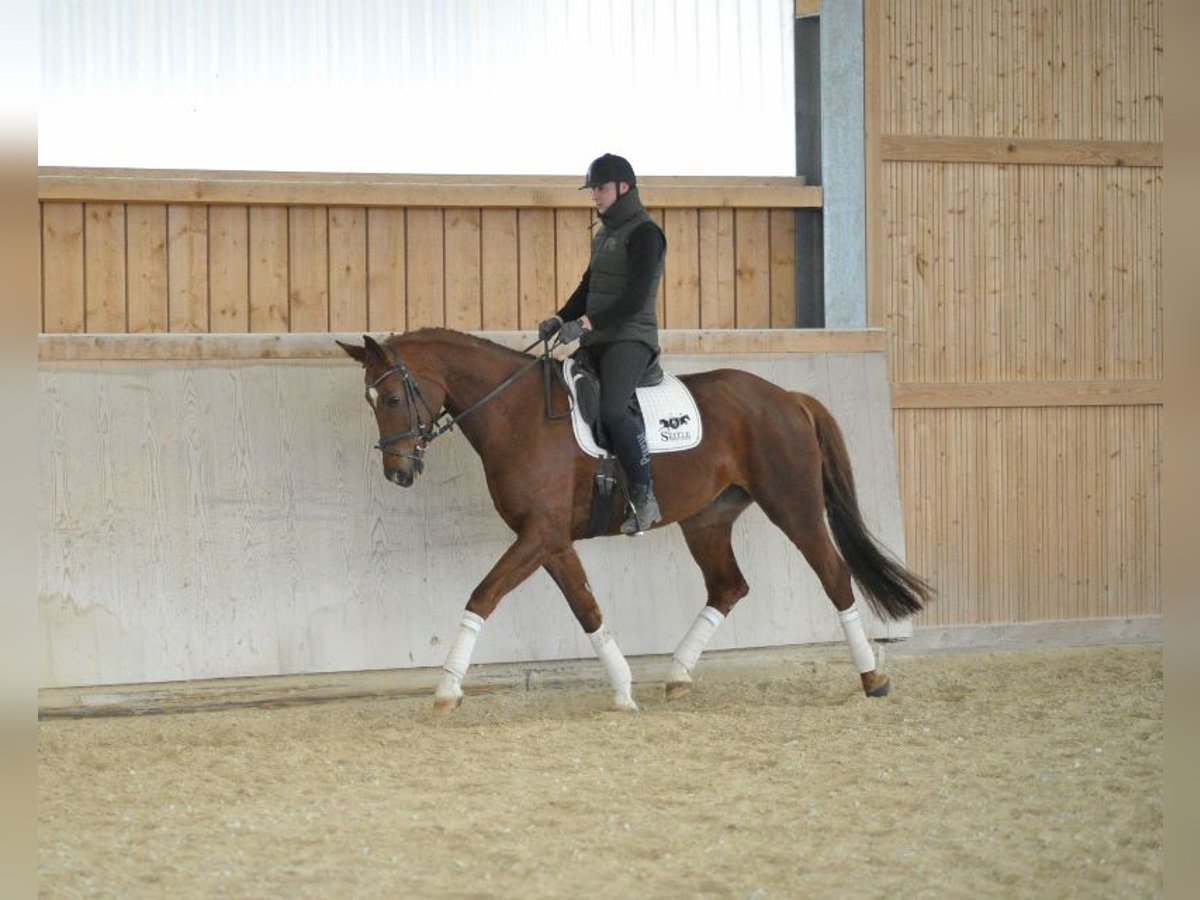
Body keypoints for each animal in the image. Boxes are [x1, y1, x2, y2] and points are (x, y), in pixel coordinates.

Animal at [338, 328, 926, 715]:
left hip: (793, 505)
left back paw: (873, 677)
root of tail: (787, 398)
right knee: (728, 587)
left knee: (833, 574)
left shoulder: (539, 535)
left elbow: (482, 595)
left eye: (393, 397)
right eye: (370, 400)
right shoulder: (550, 540)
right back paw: (677, 675)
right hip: (708, 519)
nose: (399, 473)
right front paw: (622, 690)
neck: (516, 414)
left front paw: (447, 688)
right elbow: (587, 608)